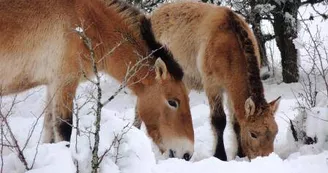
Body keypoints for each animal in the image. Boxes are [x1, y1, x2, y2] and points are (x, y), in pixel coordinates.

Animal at [0, 0, 193, 161]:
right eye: (173, 102)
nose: (187, 154)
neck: (86, 18)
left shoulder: (52, 85)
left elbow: (49, 131)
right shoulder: (64, 82)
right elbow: (64, 130)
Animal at [147, 1, 280, 161]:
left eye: (275, 132)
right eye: (253, 134)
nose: (267, 159)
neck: (229, 48)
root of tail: (153, 15)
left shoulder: (230, 89)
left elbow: (236, 122)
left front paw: (239, 154)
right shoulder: (213, 86)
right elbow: (219, 120)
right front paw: (220, 155)